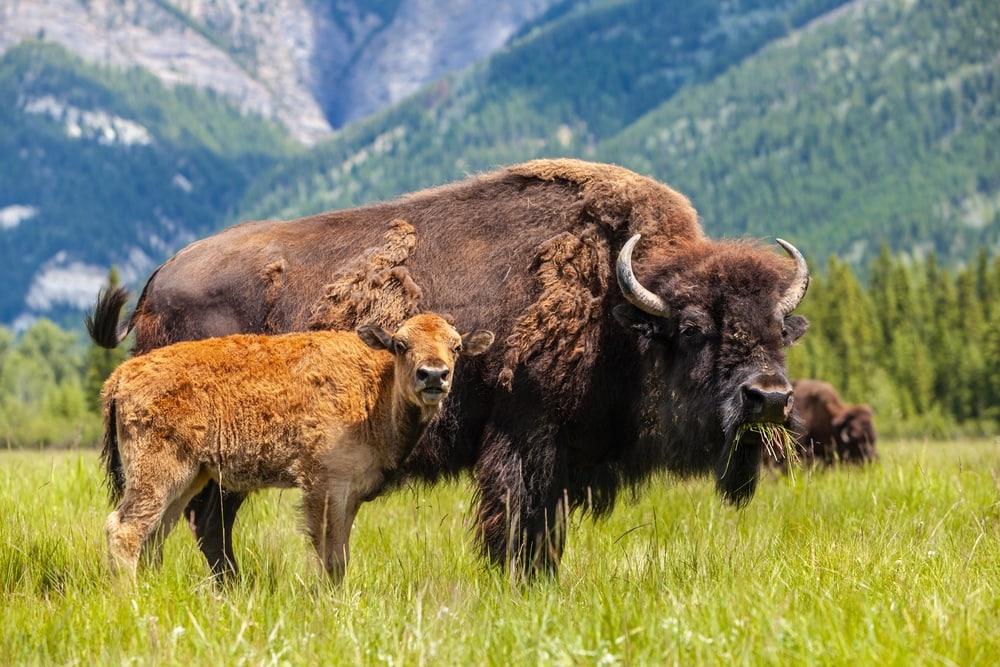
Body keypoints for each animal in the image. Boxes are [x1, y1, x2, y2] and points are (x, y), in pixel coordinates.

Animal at [100, 313, 494, 581]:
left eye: (457, 346)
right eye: (401, 345)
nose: (433, 375)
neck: (374, 389)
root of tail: (121, 375)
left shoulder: (349, 493)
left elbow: (341, 553)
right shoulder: (324, 486)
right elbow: (329, 554)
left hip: (188, 477)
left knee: (156, 533)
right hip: (157, 474)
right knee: (125, 530)